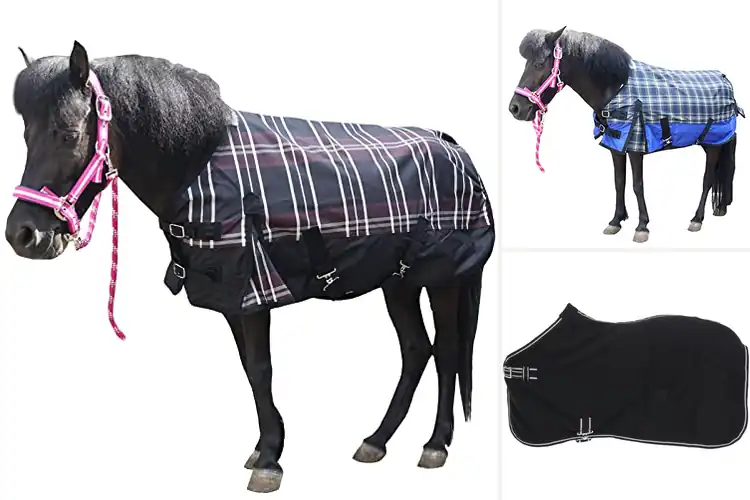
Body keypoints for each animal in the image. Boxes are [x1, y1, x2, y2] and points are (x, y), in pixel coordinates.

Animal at [3, 42, 494, 493]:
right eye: (26, 135)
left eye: (68, 134)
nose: (23, 235)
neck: (199, 165)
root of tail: (455, 150)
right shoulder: (232, 299)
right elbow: (247, 368)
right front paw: (262, 448)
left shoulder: (253, 291)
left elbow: (261, 369)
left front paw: (271, 461)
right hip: (400, 282)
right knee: (416, 350)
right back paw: (376, 441)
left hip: (442, 279)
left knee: (448, 351)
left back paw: (435, 445)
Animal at [508, 27, 743, 243]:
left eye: (539, 64)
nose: (515, 108)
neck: (616, 88)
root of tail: (726, 82)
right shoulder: (617, 146)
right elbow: (619, 182)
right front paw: (616, 221)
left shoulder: (635, 146)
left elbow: (637, 185)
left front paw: (642, 227)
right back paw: (720, 209)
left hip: (713, 145)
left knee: (708, 179)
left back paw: (696, 219)